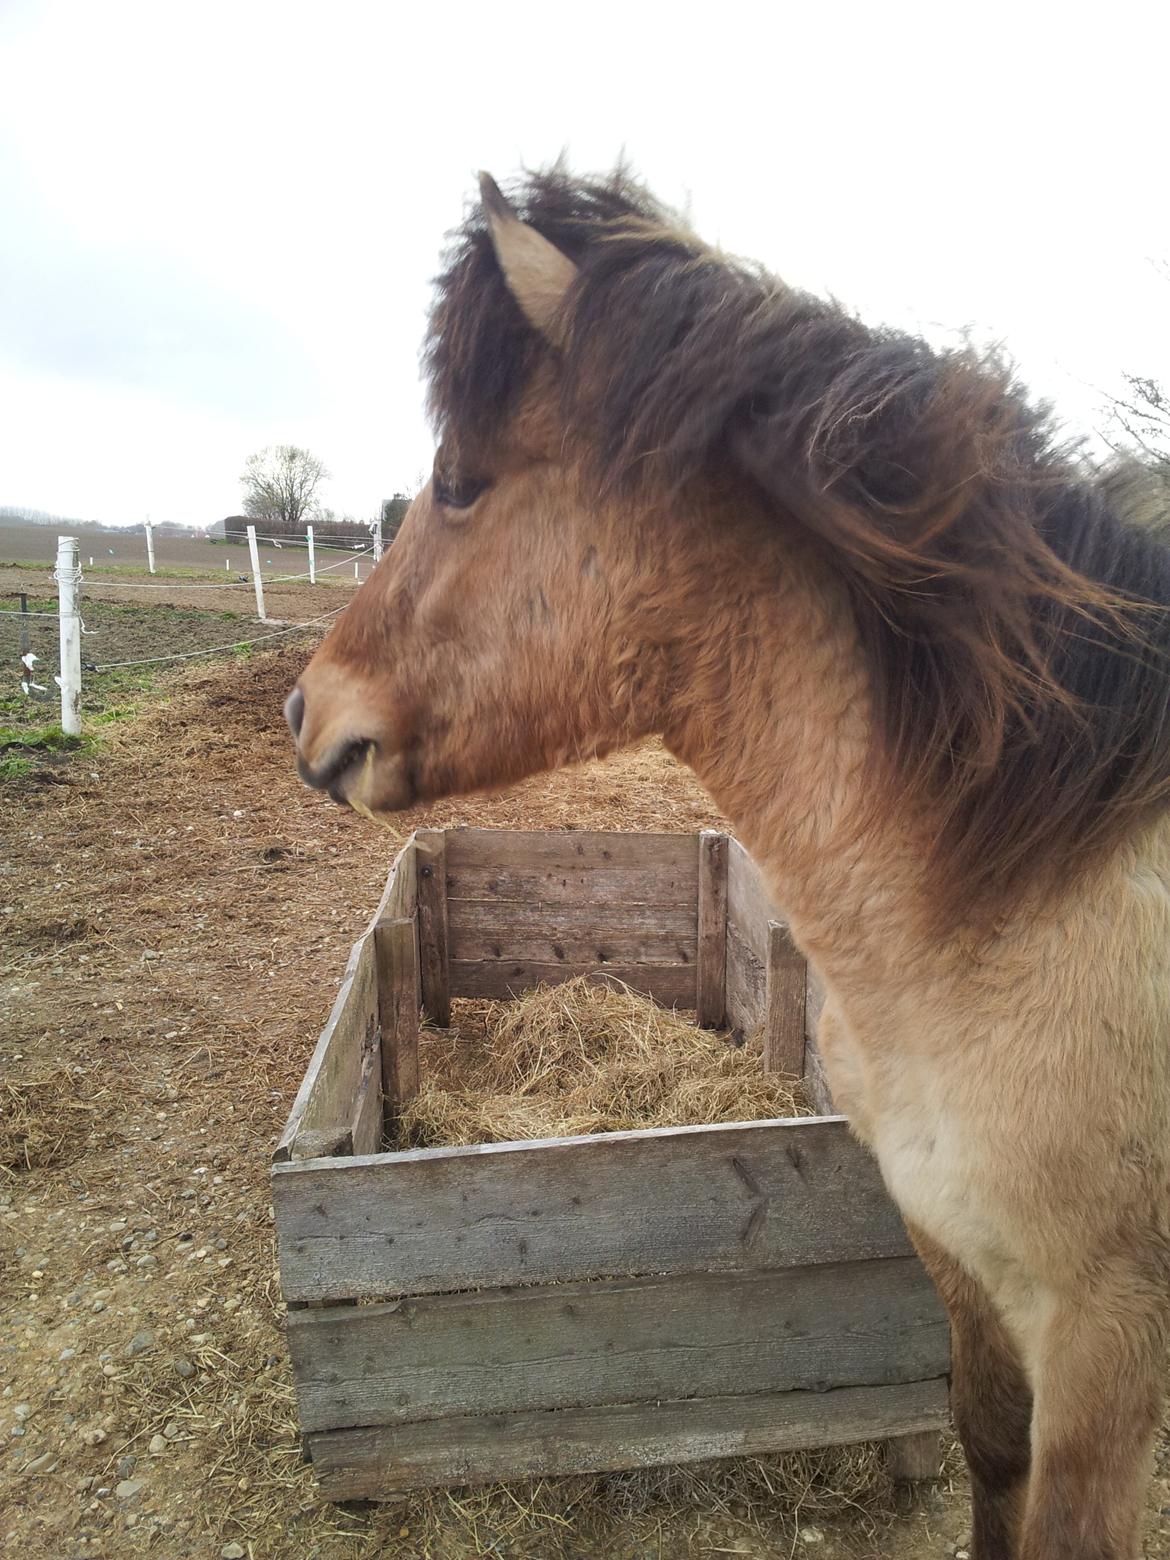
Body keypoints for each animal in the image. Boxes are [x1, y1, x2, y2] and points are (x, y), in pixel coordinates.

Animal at [288, 170, 1170, 1560]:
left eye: (461, 480)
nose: (303, 711)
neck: (1016, 907)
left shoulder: (1108, 1335)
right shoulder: (958, 1254)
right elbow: (988, 1452)